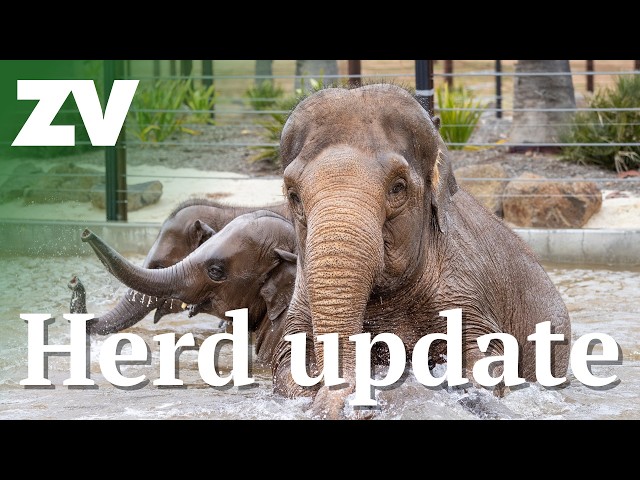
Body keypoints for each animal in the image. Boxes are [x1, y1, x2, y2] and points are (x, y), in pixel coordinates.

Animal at [270, 83, 572, 419]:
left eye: (398, 187)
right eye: (293, 195)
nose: (352, 404)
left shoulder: (463, 287)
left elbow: (483, 354)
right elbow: (288, 361)